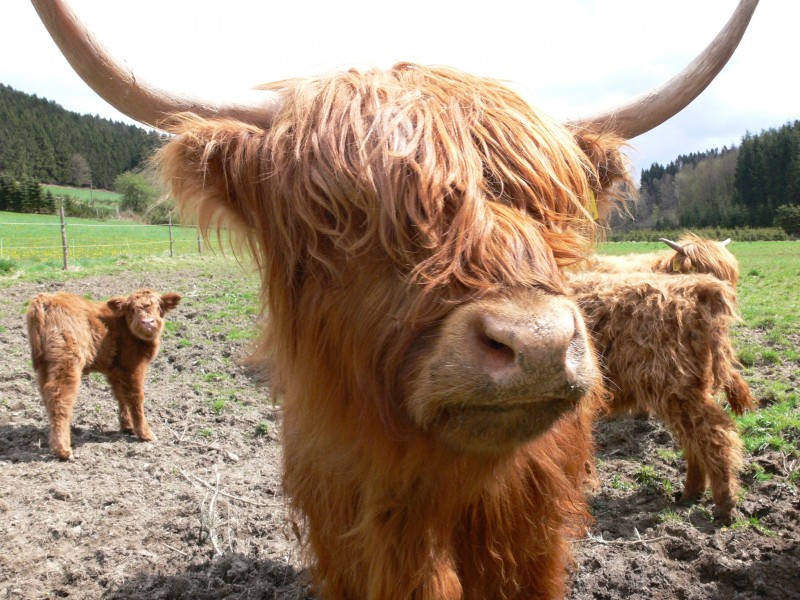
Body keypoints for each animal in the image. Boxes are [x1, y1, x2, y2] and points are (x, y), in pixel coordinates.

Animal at [26, 290, 181, 460]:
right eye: (132, 309)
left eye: (158, 306)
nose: (147, 322)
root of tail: (46, 298)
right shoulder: (133, 367)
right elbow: (136, 398)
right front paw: (145, 434)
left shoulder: (116, 370)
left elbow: (121, 396)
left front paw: (127, 426)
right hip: (67, 362)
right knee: (59, 397)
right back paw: (63, 450)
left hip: (44, 365)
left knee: (47, 395)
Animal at [568, 272, 756, 520]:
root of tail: (698, 286)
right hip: (686, 388)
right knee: (695, 438)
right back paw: (690, 495)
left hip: (675, 385)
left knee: (714, 435)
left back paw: (724, 504)